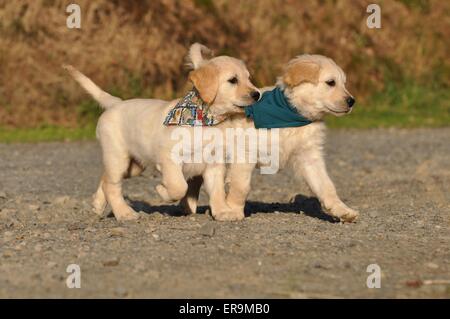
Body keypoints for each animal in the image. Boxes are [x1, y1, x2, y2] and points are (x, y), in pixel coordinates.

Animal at [64, 43, 260, 221]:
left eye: (249, 78)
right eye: (233, 80)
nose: (257, 94)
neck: (205, 119)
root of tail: (115, 103)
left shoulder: (214, 164)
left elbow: (217, 190)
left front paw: (223, 212)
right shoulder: (169, 159)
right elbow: (179, 186)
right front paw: (161, 191)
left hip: (133, 166)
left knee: (105, 179)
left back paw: (98, 204)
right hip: (117, 156)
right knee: (112, 185)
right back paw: (125, 213)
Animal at [186, 54, 358, 222]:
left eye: (343, 83)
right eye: (331, 82)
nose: (352, 101)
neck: (290, 114)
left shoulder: (309, 157)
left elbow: (326, 185)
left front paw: (343, 210)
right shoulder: (245, 154)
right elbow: (241, 186)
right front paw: (233, 210)